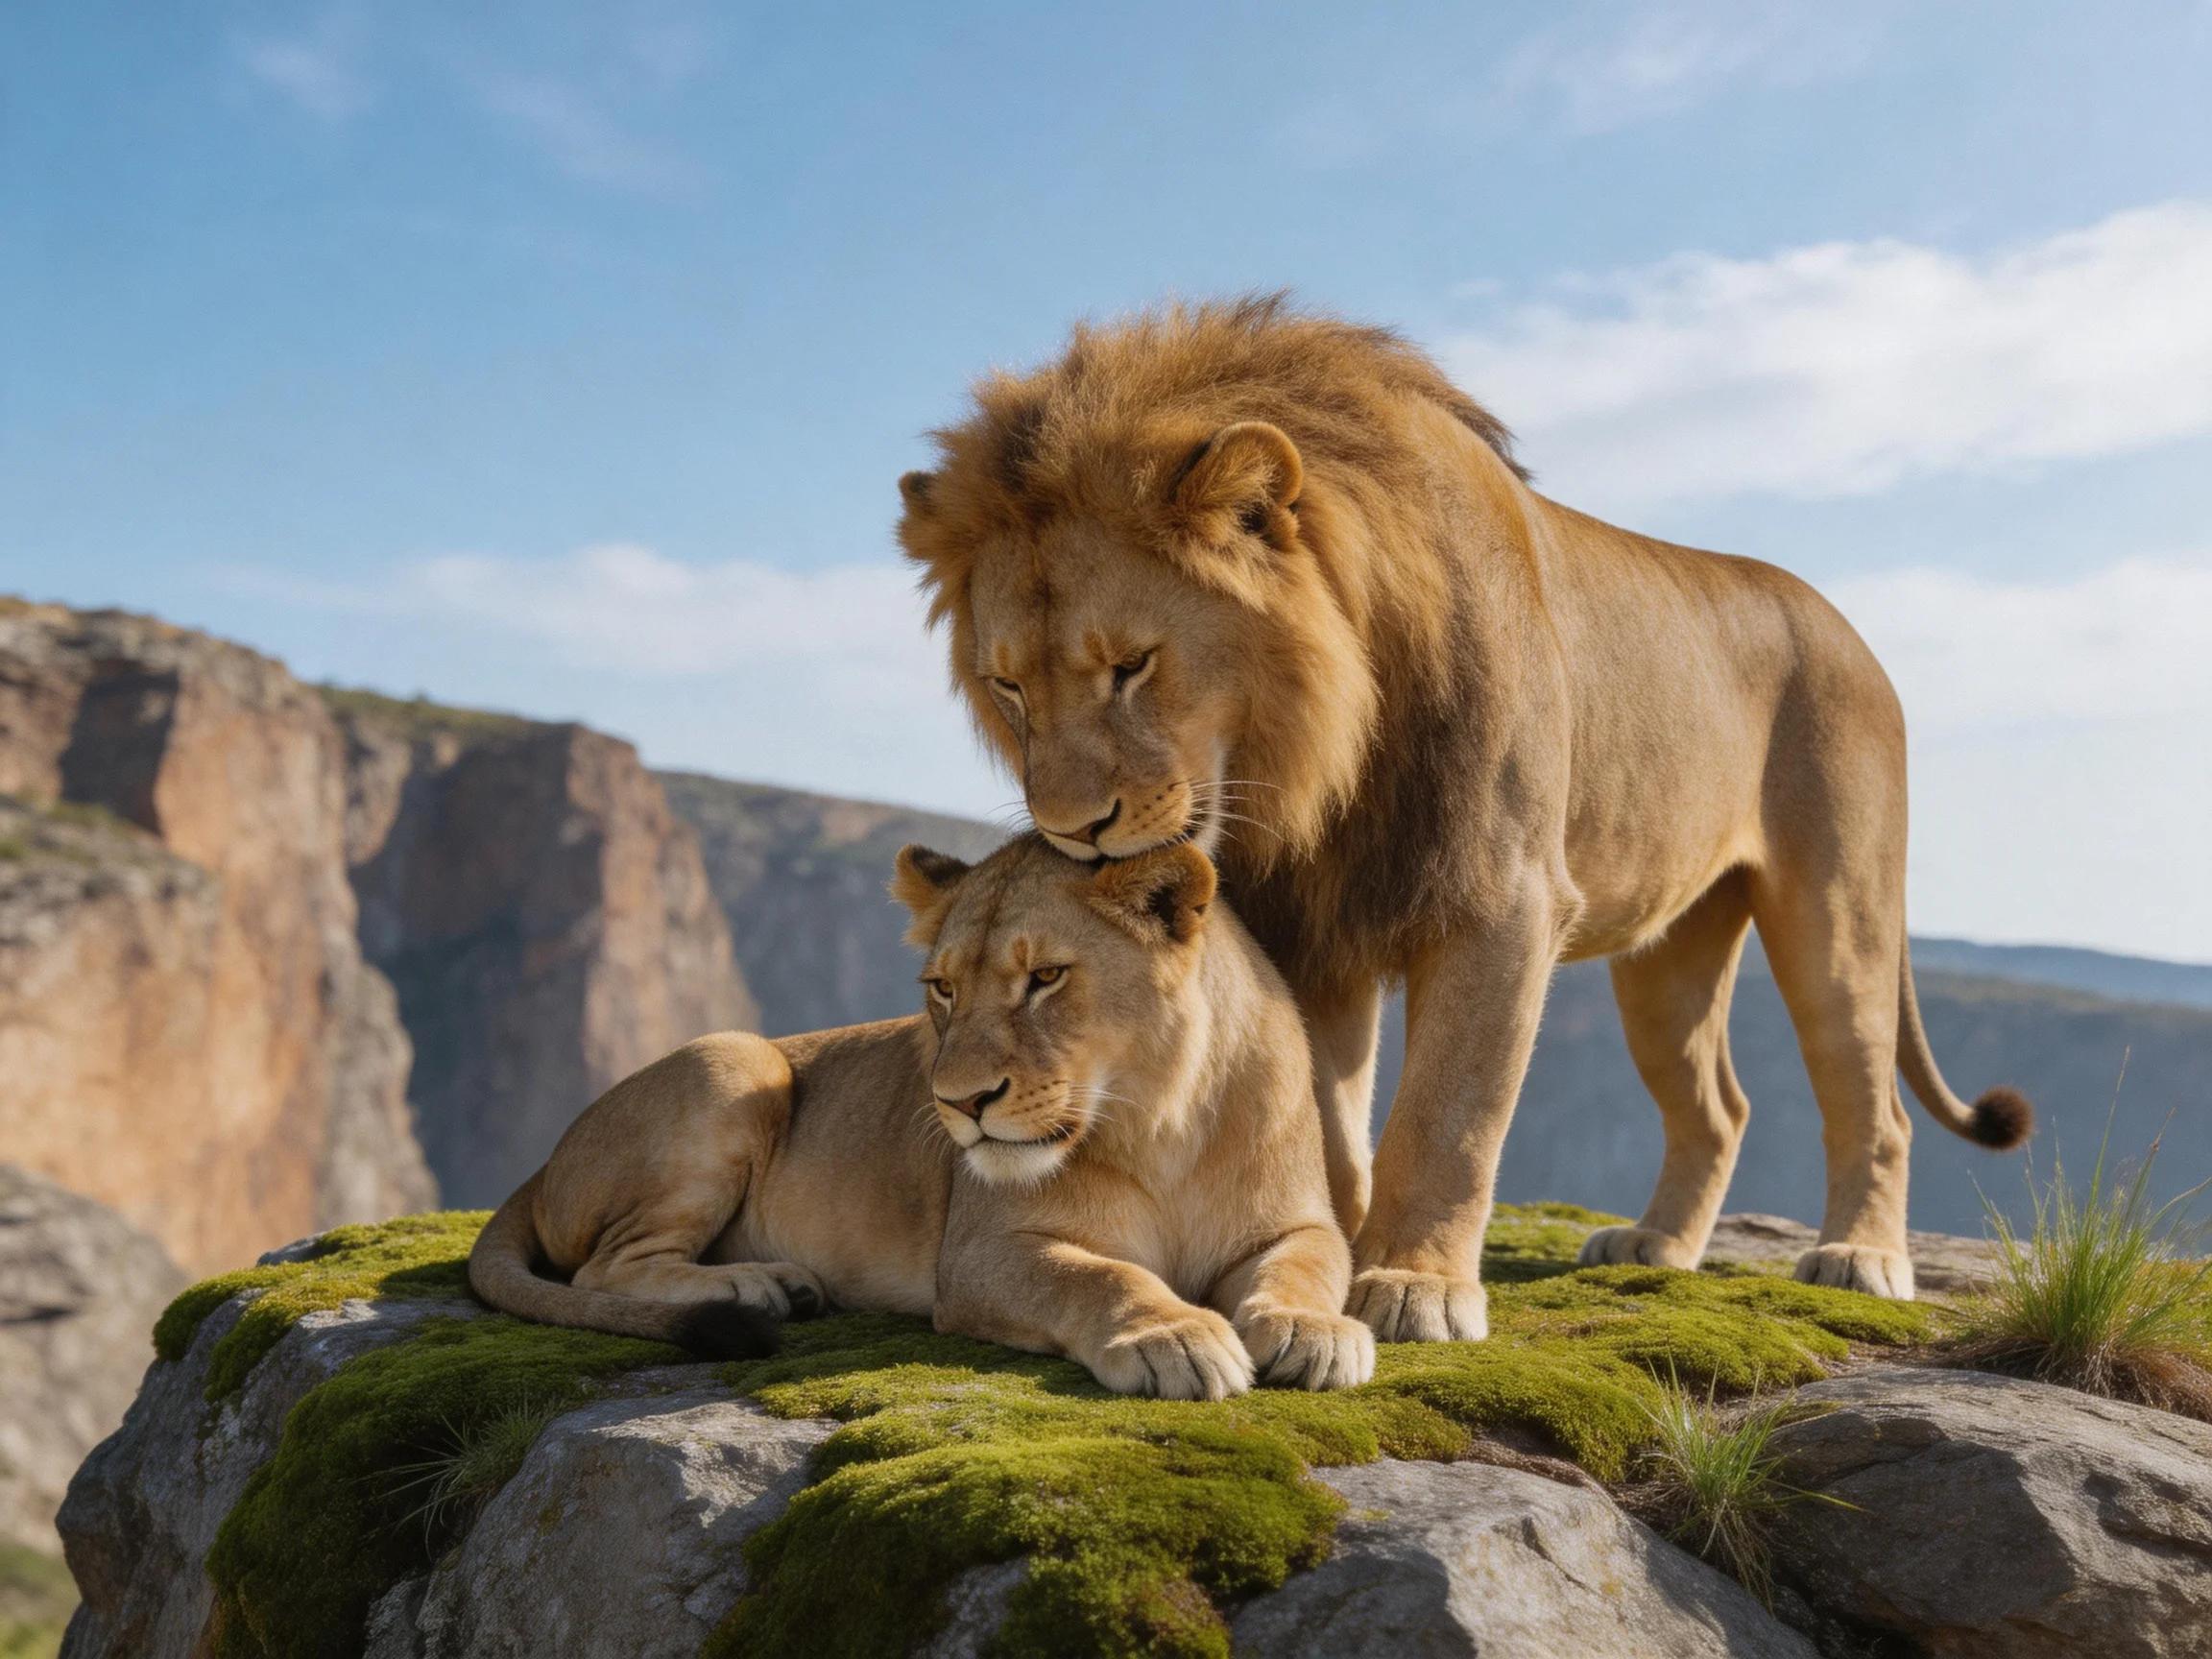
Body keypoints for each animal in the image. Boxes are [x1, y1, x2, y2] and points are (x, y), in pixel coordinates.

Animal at [469, 833, 1374, 1399]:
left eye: (1045, 978)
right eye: (941, 989)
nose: (958, 1103)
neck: (1162, 1123)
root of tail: (541, 1166)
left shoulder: (1299, 1222)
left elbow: (1306, 1266)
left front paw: (1313, 1331)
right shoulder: (977, 1256)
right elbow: (1102, 1274)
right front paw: (1171, 1337)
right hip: (737, 1057)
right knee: (602, 1271)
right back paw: (760, 1286)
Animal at [896, 294, 2032, 1342]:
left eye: (1132, 665)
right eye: (1008, 687)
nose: (1072, 830)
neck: (1314, 771)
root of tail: (1850, 630)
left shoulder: (1503, 899)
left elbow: (1450, 1115)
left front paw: (1413, 1285)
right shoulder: (1314, 931)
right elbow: (1329, 1120)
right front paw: (1329, 1247)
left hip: (1838, 912)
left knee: (1875, 1103)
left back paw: (1860, 1260)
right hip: (1667, 955)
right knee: (1719, 1105)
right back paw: (1657, 1245)